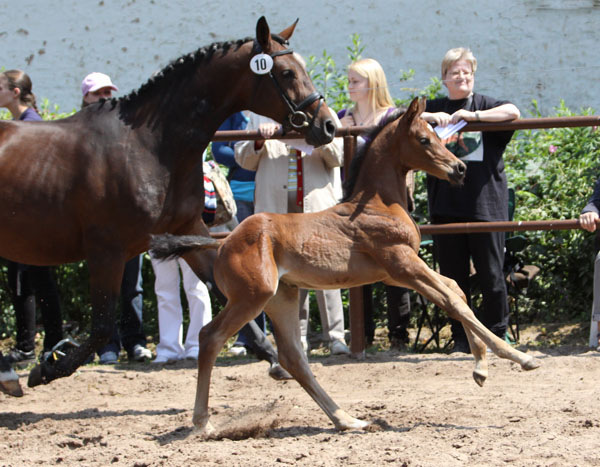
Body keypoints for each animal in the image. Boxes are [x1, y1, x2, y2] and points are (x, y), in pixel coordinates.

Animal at [151, 96, 540, 436]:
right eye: (424, 139)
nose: (459, 169)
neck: (379, 204)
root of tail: (221, 242)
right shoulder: (402, 264)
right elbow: (453, 301)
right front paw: (519, 358)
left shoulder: (399, 273)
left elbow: (456, 290)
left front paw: (482, 367)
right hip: (252, 296)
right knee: (210, 337)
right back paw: (203, 423)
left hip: (281, 297)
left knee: (293, 358)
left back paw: (348, 420)